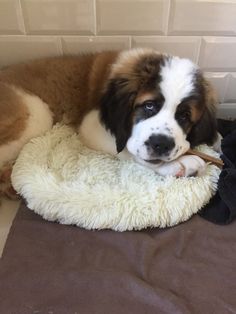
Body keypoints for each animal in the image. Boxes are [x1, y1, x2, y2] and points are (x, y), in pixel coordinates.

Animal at [0, 47, 218, 196]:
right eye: (149, 106)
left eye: (184, 116)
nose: (161, 144)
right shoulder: (91, 126)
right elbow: (128, 150)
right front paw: (180, 164)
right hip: (36, 115)